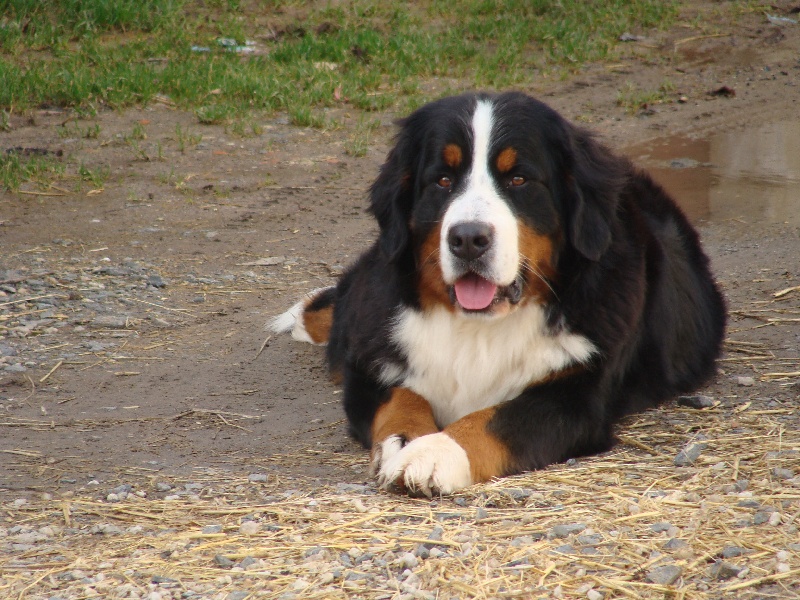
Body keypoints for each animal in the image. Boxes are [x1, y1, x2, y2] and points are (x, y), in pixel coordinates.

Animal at [272, 91, 728, 496]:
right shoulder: (373, 367)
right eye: (442, 180)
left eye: (518, 179)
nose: (468, 239)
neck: (478, 328)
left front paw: (434, 452)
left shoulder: (574, 396)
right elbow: (402, 398)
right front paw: (403, 441)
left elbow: (493, 419)